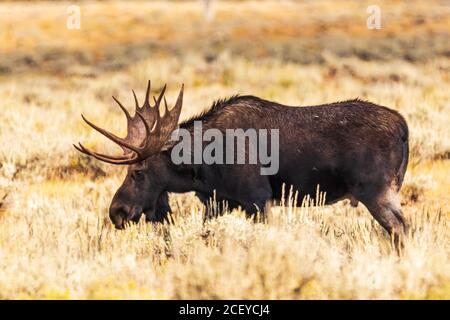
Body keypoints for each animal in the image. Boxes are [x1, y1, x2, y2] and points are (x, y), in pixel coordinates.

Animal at [75, 81, 410, 241]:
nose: (117, 212)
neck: (201, 167)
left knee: (401, 229)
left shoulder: (257, 199)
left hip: (376, 191)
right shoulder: (219, 202)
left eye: (138, 172)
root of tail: (405, 128)